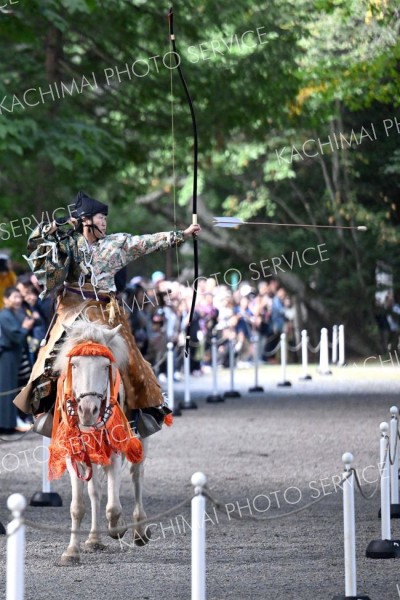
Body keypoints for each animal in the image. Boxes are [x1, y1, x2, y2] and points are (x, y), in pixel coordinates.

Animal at [51, 322, 148, 564]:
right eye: (74, 365)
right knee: (95, 491)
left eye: (106, 366)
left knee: (137, 476)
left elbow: (113, 507)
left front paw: (118, 528)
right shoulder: (74, 454)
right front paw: (72, 551)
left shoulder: (114, 452)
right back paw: (94, 539)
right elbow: (78, 505)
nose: (88, 410)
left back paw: (139, 530)